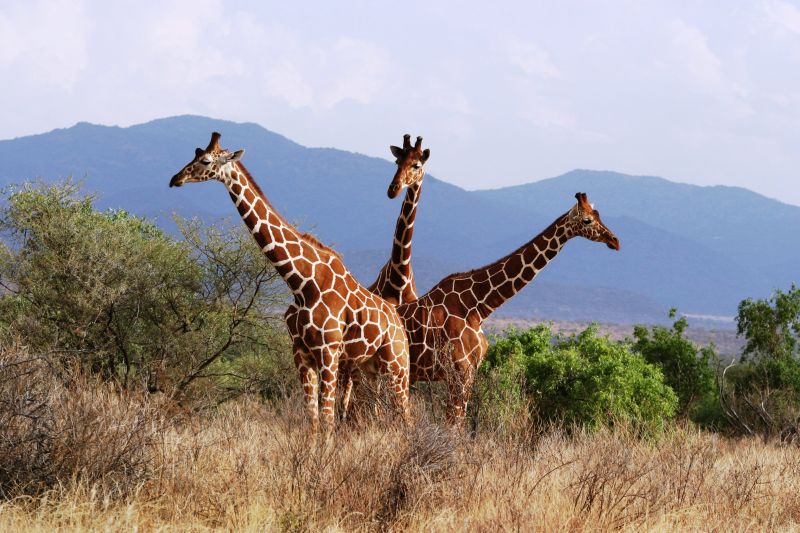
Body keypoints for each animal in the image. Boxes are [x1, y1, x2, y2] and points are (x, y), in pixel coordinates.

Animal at [166, 133, 410, 436]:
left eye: (206, 160)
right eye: (195, 153)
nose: (175, 178)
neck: (301, 283)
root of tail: (398, 320)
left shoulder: (328, 353)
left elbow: (327, 420)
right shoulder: (301, 354)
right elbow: (313, 419)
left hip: (397, 366)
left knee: (407, 417)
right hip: (369, 368)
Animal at [396, 193, 620, 422]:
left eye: (598, 214)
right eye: (587, 220)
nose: (615, 241)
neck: (477, 305)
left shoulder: (468, 372)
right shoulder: (459, 371)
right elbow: (455, 423)